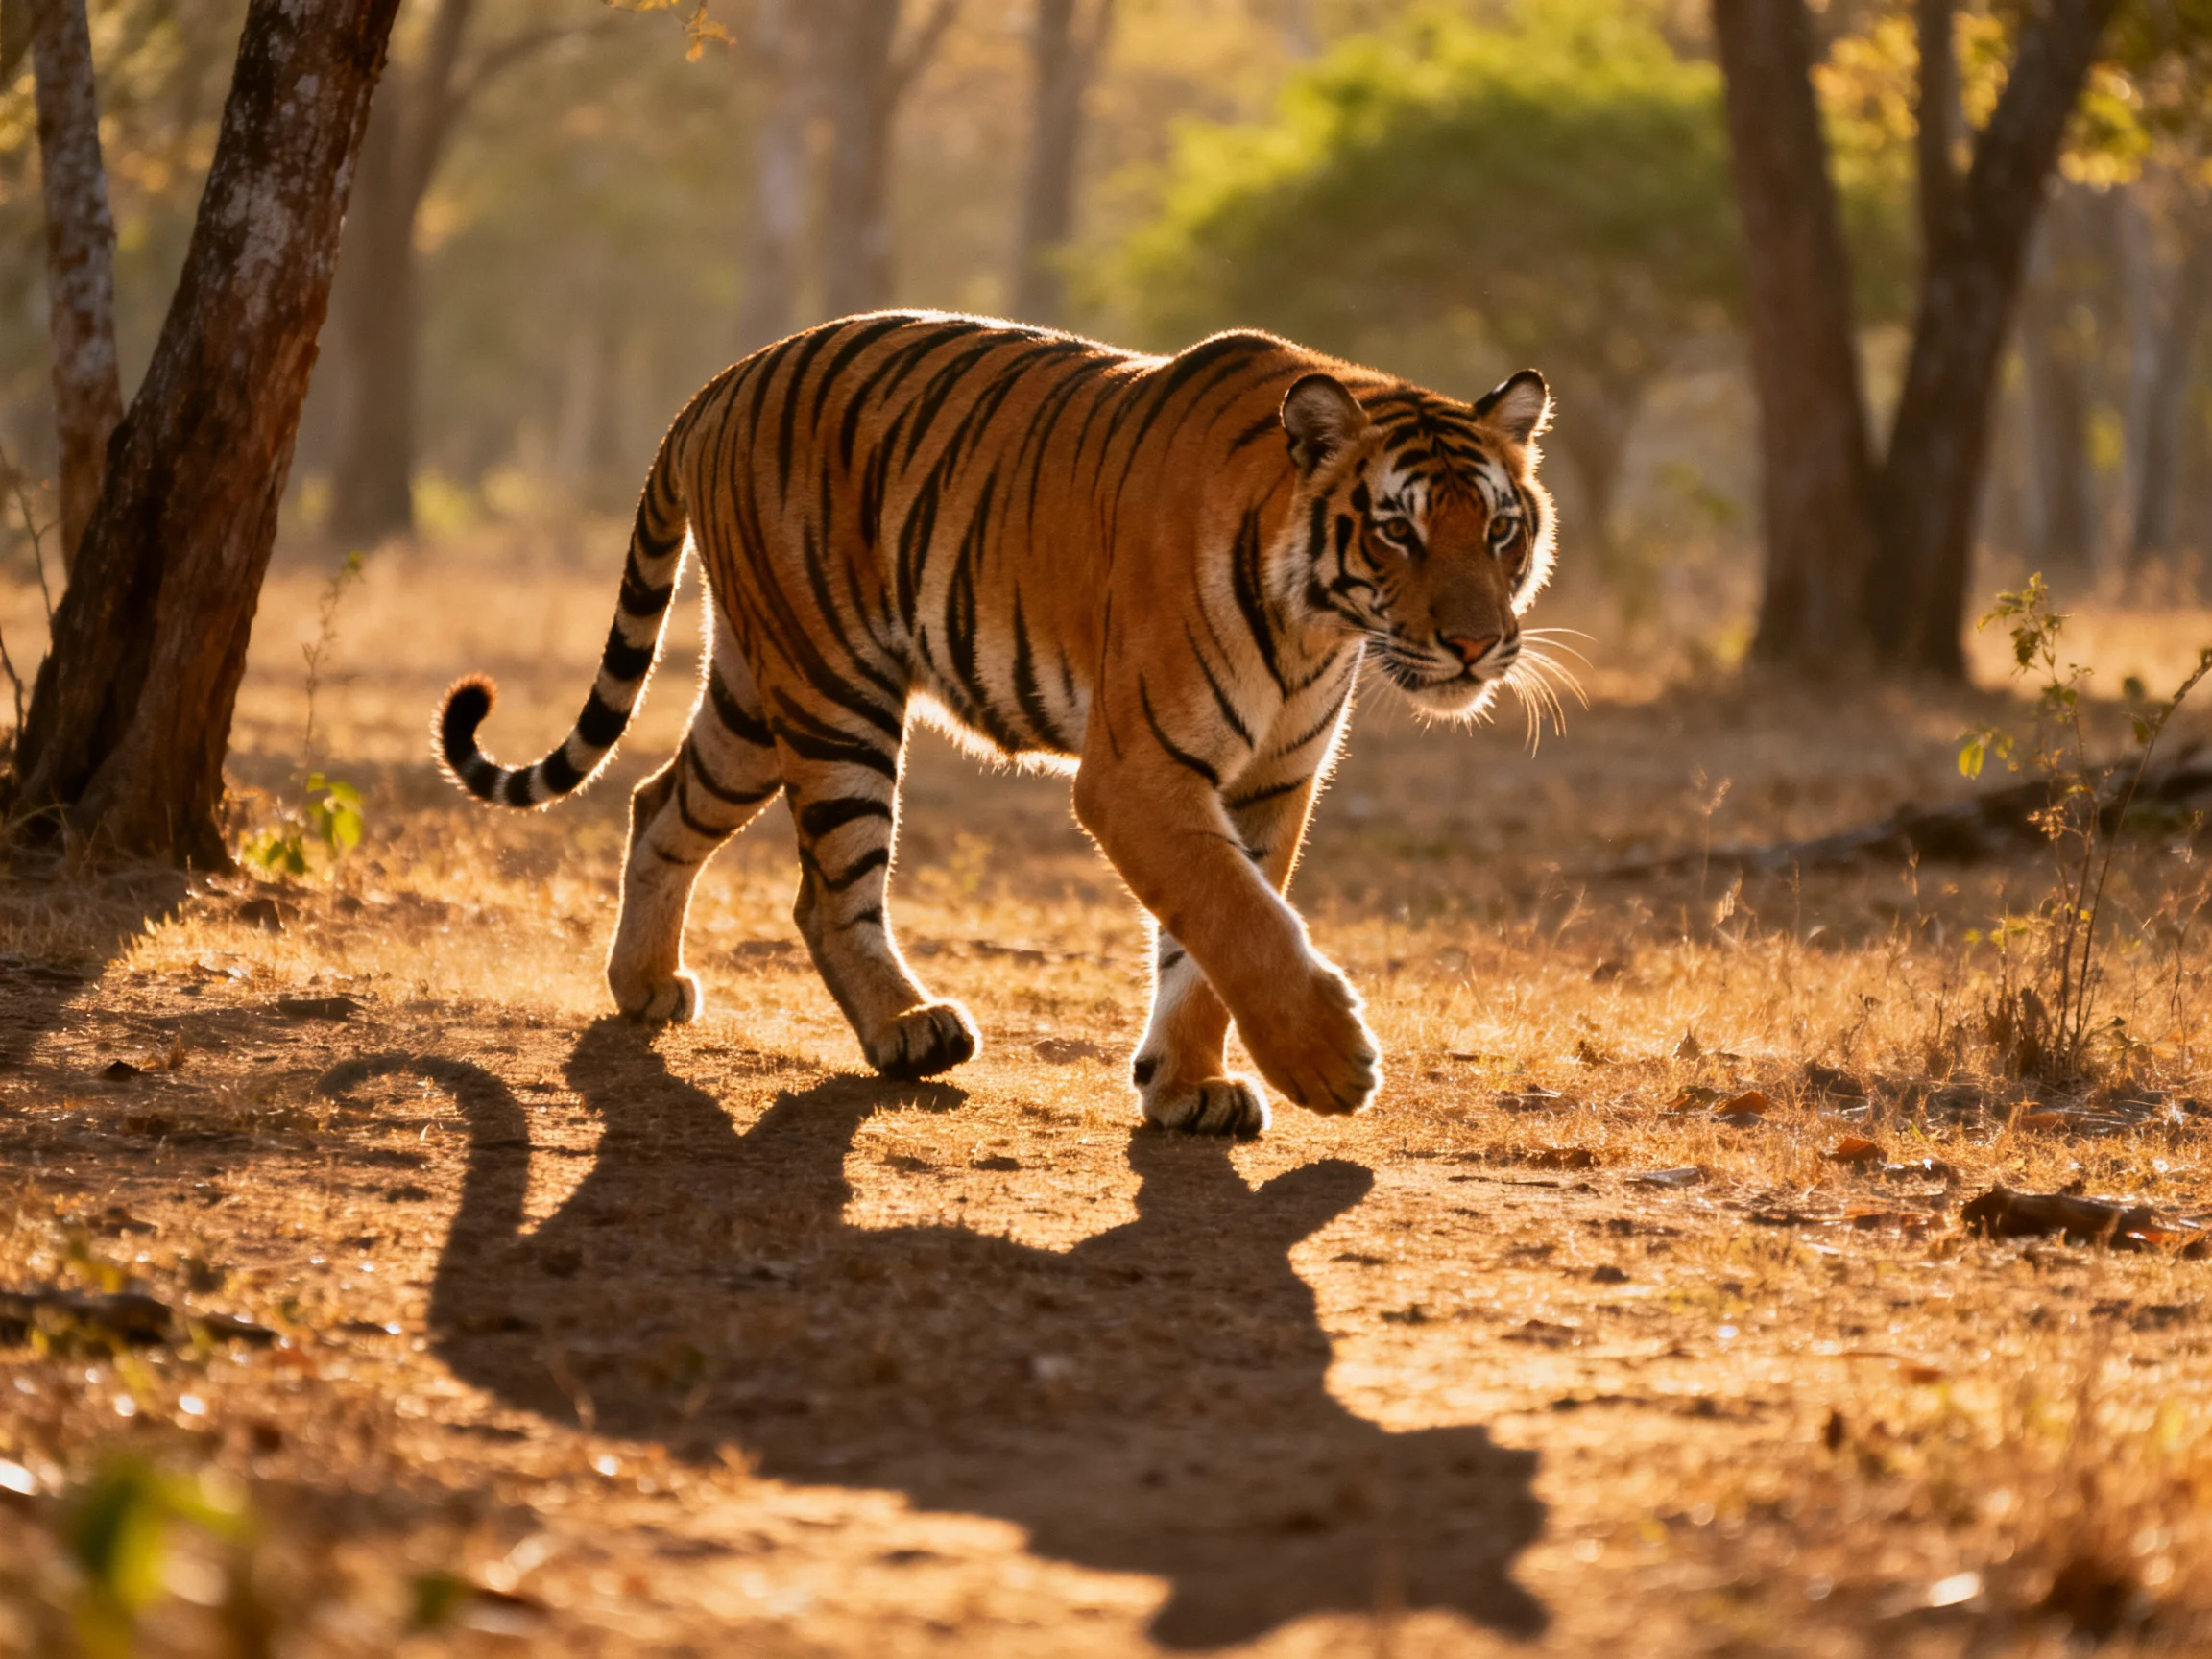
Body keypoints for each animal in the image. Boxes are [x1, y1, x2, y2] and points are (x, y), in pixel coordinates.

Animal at [436, 312, 1556, 1137]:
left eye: (1501, 528)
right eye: (1398, 529)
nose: (1477, 644)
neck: (1316, 624)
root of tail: (716, 383)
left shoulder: (1270, 782)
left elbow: (1207, 942)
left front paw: (1187, 1086)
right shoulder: (1139, 770)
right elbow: (1237, 914)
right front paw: (1328, 1063)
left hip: (755, 699)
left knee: (658, 802)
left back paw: (645, 986)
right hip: (833, 690)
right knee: (827, 891)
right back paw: (908, 1029)